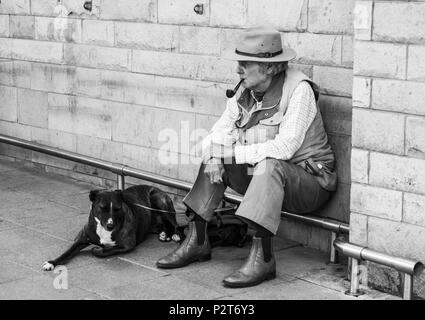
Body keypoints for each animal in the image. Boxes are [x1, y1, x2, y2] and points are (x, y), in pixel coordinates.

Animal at [42, 184, 183, 272]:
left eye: (117, 208)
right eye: (102, 207)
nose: (110, 225)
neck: (103, 229)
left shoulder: (127, 245)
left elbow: (107, 250)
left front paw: (97, 249)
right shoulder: (81, 240)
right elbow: (67, 252)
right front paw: (52, 262)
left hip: (159, 200)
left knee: (176, 225)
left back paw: (175, 235)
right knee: (165, 225)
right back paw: (165, 234)